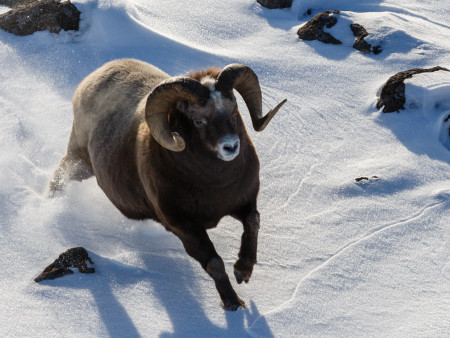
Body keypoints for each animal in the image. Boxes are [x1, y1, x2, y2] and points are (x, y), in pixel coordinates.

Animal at [49, 59, 286, 310]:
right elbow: (214, 263)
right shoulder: (185, 228)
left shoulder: (243, 203)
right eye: (198, 120)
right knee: (58, 179)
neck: (215, 186)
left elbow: (253, 222)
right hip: (79, 163)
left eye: (233, 111)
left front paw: (243, 271)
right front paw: (233, 303)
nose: (230, 147)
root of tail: (92, 78)